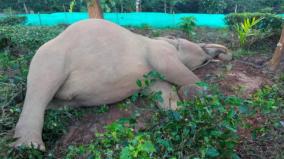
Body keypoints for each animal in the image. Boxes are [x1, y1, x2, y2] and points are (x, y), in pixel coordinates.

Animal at [13, 19, 232, 150]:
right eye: (203, 56)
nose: (223, 55)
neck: (167, 41)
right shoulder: (160, 51)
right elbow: (171, 69)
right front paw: (199, 94)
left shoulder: (152, 76)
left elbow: (160, 89)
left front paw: (179, 113)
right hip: (50, 56)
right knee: (40, 88)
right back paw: (28, 147)